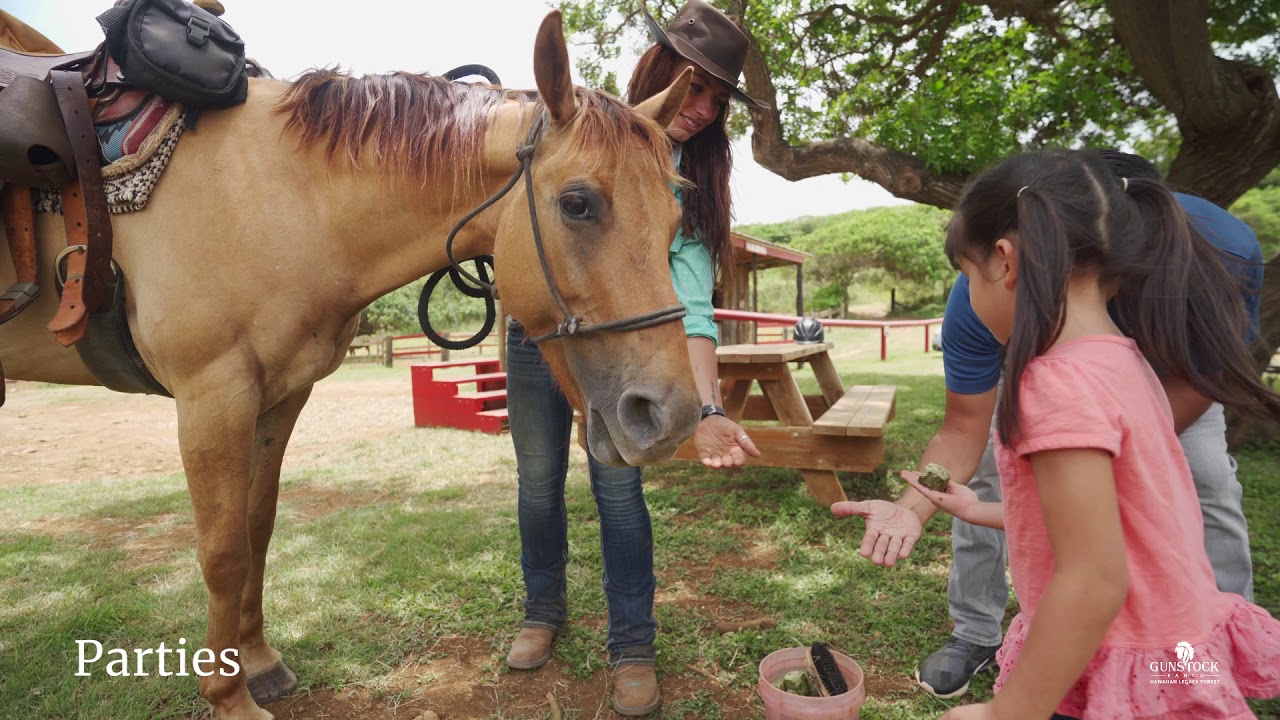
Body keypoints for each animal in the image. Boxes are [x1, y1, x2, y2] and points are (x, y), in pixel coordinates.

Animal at [0, 13, 701, 719]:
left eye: (676, 218)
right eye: (578, 203)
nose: (669, 416)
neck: (277, 199)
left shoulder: (279, 398)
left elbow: (257, 529)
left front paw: (259, 662)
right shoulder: (212, 398)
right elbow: (222, 552)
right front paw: (229, 696)